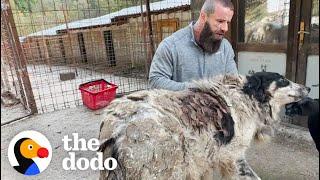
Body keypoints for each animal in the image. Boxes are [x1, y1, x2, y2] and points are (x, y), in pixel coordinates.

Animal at [98, 72, 310, 180]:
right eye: (283, 80)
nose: (308, 87)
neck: (248, 96)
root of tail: (115, 127)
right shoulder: (232, 156)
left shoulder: (207, 156)